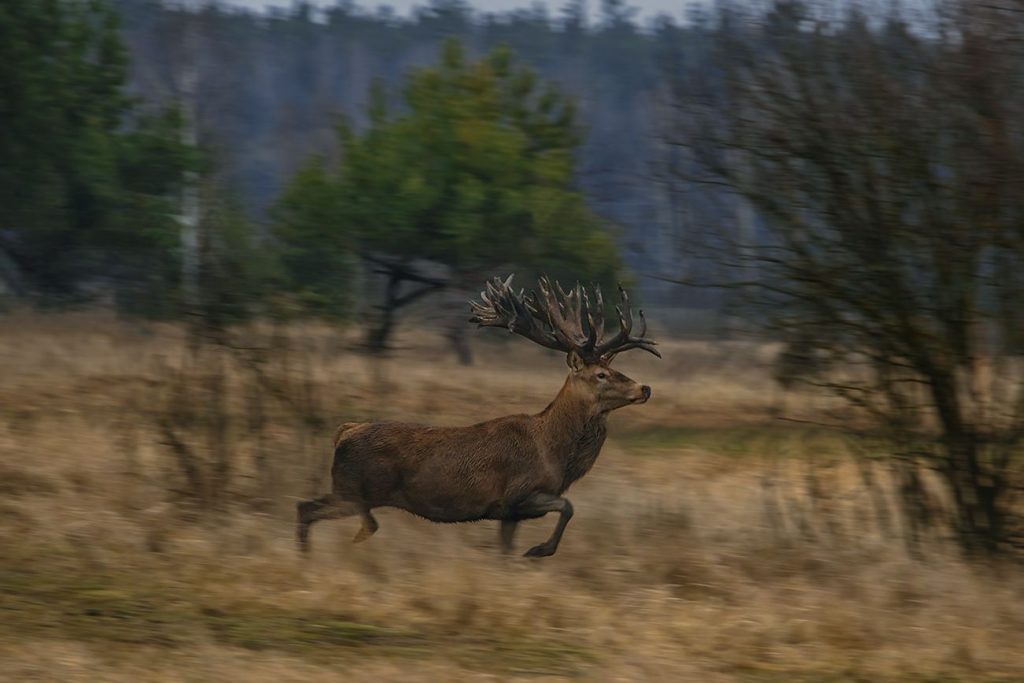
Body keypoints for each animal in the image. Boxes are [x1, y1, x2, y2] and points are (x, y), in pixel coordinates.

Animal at [296, 274, 660, 557]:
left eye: (614, 369)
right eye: (601, 374)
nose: (644, 387)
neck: (554, 452)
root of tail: (345, 431)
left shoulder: (508, 515)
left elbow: (505, 551)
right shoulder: (518, 494)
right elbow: (568, 507)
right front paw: (540, 549)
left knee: (309, 508)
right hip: (353, 488)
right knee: (307, 508)